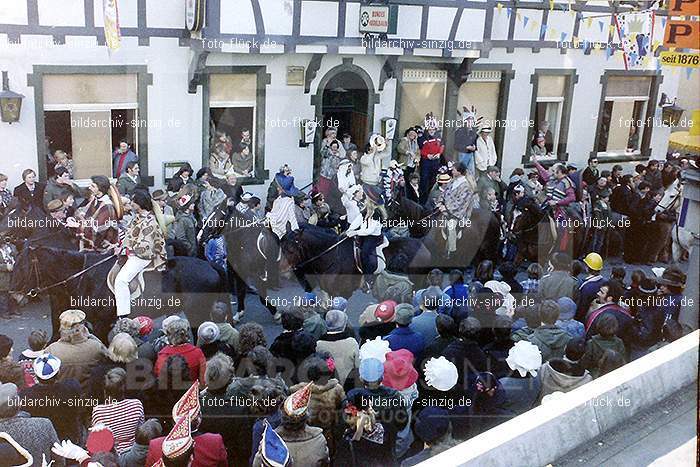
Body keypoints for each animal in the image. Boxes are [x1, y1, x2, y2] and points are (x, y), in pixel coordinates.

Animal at [9, 247, 228, 342]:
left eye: (23, 267)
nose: (12, 294)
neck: (83, 275)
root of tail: (210, 265)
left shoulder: (101, 325)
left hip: (196, 313)